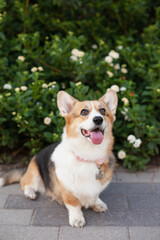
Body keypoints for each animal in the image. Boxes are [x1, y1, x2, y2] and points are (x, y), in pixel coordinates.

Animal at [0, 89, 117, 228]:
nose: (98, 119)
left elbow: (95, 196)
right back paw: (30, 193)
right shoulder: (67, 190)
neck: (88, 157)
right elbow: (74, 205)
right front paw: (77, 219)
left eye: (103, 111)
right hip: (35, 174)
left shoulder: (96, 188)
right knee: (25, 182)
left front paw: (97, 204)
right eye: (84, 112)